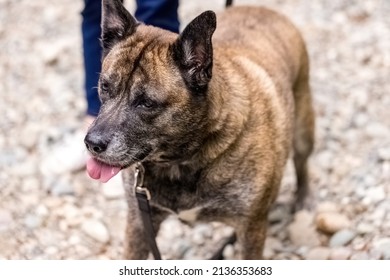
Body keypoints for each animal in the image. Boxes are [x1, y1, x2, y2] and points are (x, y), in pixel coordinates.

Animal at [84, 0, 314, 260]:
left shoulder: (252, 229)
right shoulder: (140, 223)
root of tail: (259, 9)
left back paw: (303, 198)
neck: (182, 159)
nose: (92, 143)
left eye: (147, 103)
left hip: (303, 132)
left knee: (302, 163)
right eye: (104, 87)